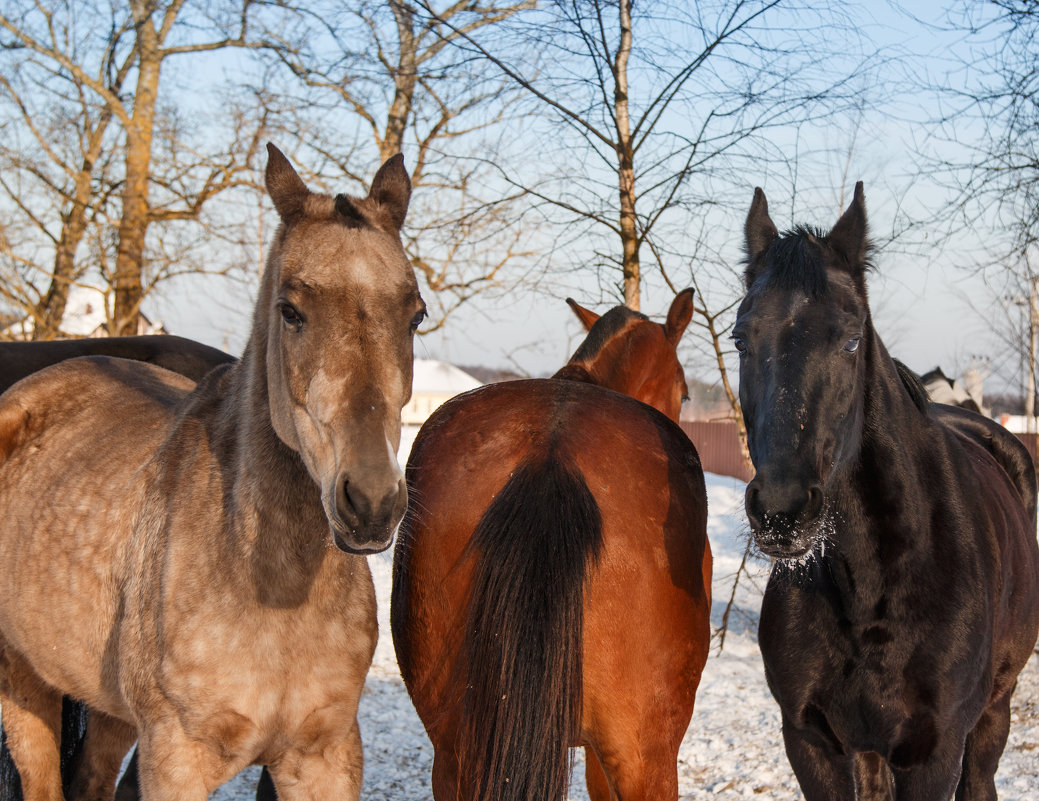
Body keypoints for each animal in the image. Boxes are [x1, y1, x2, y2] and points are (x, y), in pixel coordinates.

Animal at [0, 145, 425, 801]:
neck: (268, 592)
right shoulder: (175, 758)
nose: (372, 502)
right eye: (290, 311)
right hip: (22, 682)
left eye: (416, 316)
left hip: (109, 711)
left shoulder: (324, 755)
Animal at [731, 182, 1039, 801]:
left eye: (851, 341)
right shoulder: (812, 744)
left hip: (994, 713)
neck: (870, 587)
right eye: (740, 339)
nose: (781, 512)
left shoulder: (933, 753)